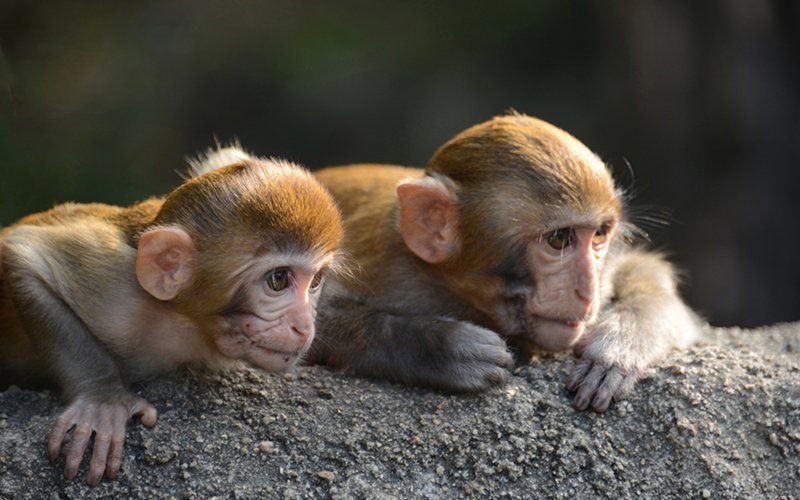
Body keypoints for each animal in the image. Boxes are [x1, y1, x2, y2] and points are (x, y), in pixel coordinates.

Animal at [0, 148, 343, 485]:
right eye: (278, 279)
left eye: (315, 281)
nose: (304, 326)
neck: (185, 323)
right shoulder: (118, 292)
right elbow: (22, 254)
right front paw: (102, 398)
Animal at [305, 113, 701, 412]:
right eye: (559, 239)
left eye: (599, 235)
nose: (587, 291)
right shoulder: (386, 266)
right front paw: (443, 346)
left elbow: (643, 272)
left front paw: (619, 345)